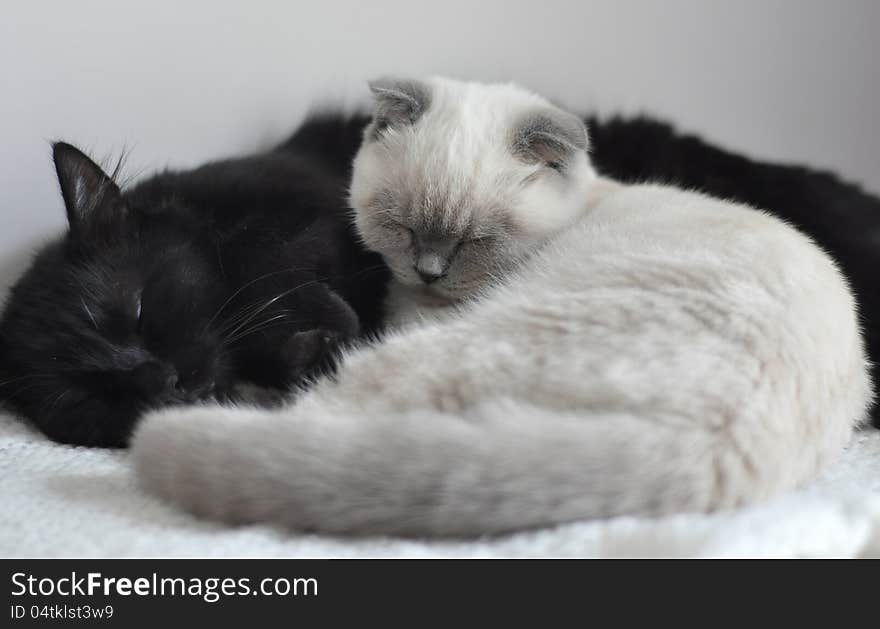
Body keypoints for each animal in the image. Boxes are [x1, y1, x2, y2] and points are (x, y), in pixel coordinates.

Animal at [0, 132, 388, 446]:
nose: (166, 381)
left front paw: (332, 323)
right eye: (83, 393)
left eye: (139, 310)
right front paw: (304, 357)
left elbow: (252, 253)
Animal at [132, 75, 872, 536]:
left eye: (476, 240)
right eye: (401, 226)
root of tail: (707, 452)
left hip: (431, 357)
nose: (429, 271)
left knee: (314, 413)